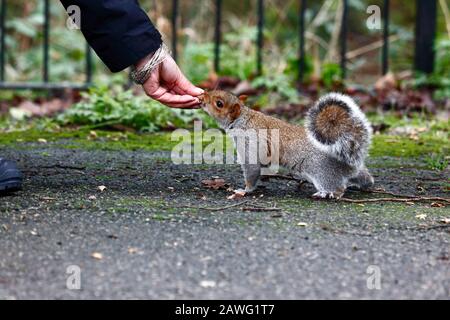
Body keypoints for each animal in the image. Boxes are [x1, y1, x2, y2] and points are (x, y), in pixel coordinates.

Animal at [200, 90, 372, 199]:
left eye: (219, 103)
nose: (202, 96)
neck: (242, 119)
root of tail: (349, 165)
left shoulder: (251, 145)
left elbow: (252, 171)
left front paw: (244, 190)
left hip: (322, 173)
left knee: (337, 187)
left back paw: (327, 194)